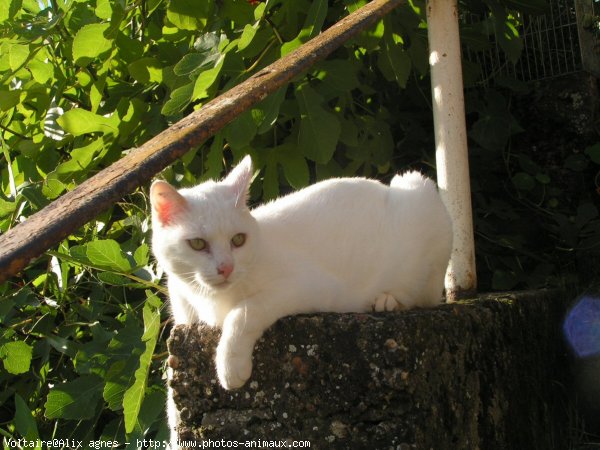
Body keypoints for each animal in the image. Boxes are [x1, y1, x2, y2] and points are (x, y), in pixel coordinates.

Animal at [152, 156, 452, 394]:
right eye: (197, 244)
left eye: (238, 240)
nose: (226, 267)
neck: (209, 298)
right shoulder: (183, 312)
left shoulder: (308, 286)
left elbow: (243, 311)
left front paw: (230, 365)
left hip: (418, 191)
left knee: (425, 295)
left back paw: (388, 300)